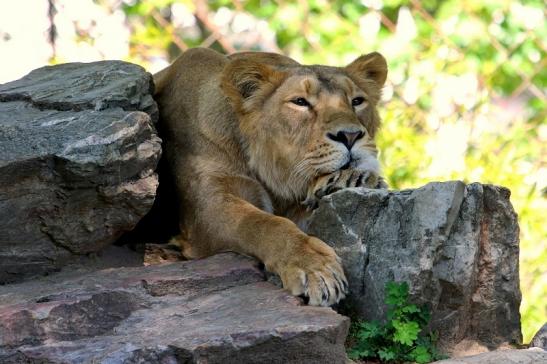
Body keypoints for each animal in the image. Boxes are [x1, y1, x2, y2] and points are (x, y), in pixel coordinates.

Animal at [152, 47, 388, 306]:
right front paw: (315, 268)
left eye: (357, 101)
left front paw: (350, 179)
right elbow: (263, 223)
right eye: (300, 102)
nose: (350, 135)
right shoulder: (205, 207)